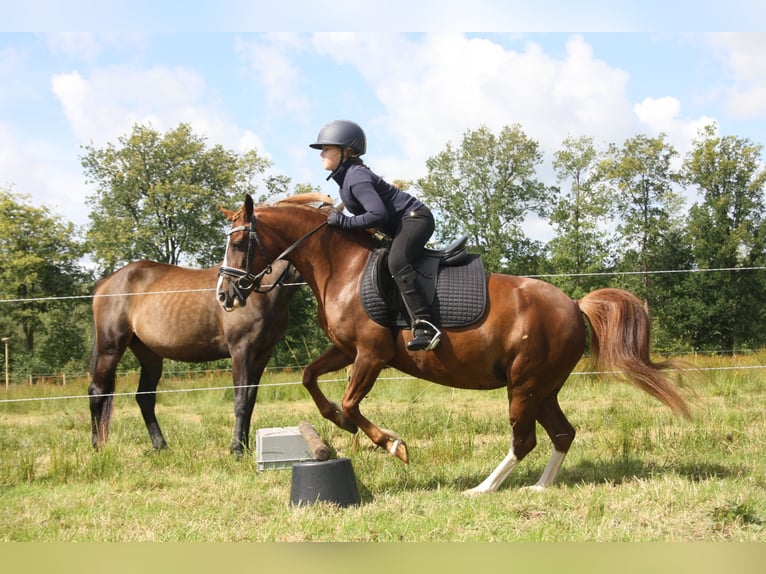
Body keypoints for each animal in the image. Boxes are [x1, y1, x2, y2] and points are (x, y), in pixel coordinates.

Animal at [87, 260, 296, 454]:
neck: (261, 290)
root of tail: (106, 282)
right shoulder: (241, 350)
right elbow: (241, 400)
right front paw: (236, 448)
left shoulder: (262, 355)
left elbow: (250, 400)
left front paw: (245, 446)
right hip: (110, 349)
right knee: (97, 391)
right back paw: (97, 447)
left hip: (149, 356)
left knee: (145, 397)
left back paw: (161, 446)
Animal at [218, 195, 696, 496]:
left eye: (240, 242)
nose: (225, 295)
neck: (343, 268)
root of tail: (575, 304)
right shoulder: (347, 351)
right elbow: (310, 378)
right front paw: (338, 423)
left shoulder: (371, 355)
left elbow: (352, 402)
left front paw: (392, 444)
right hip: (543, 387)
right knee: (562, 432)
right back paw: (541, 487)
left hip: (524, 386)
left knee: (524, 440)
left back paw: (482, 489)